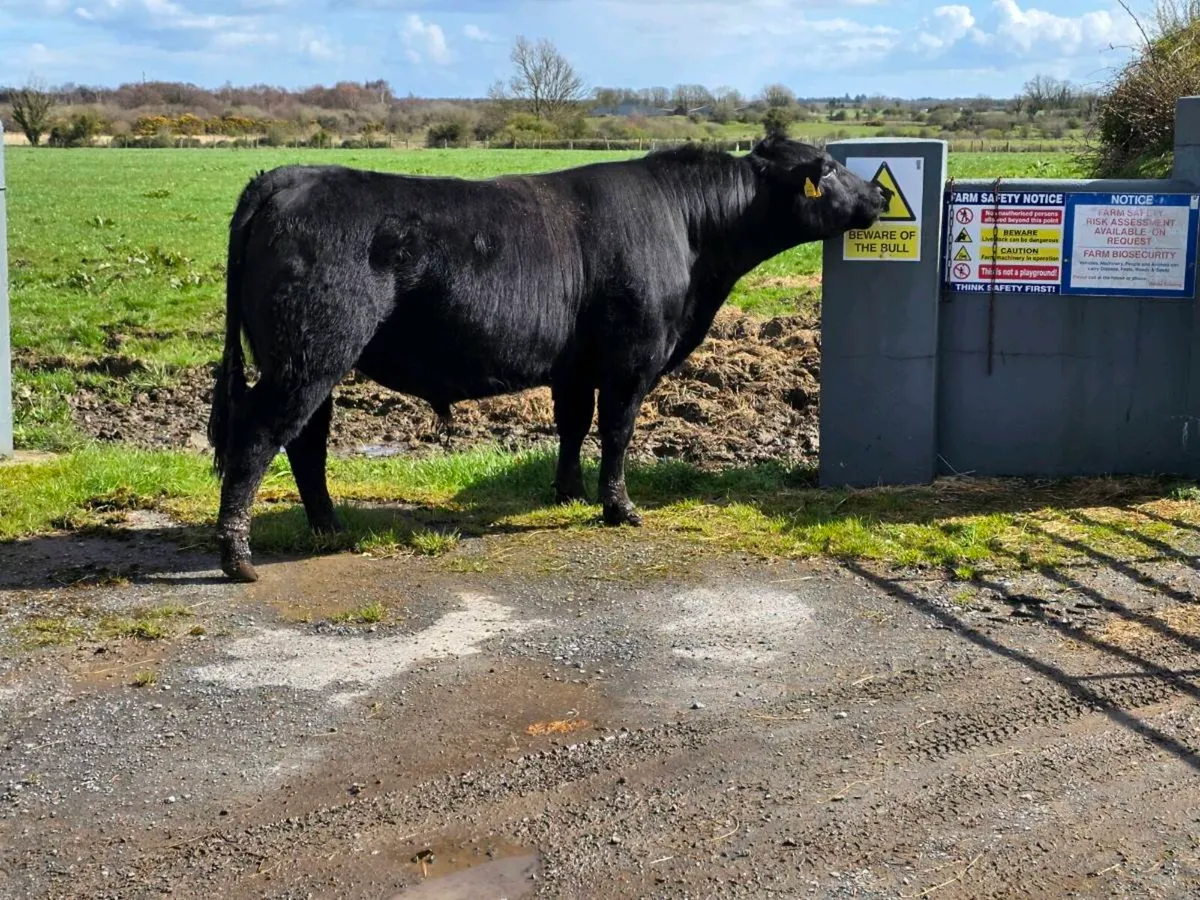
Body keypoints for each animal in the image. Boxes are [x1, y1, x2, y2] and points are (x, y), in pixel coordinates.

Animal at [207, 136, 890, 582]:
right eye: (829, 168)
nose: (882, 195)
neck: (694, 240)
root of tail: (287, 175)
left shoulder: (576, 365)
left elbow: (573, 425)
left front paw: (567, 492)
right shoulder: (632, 358)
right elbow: (616, 432)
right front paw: (619, 508)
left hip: (313, 362)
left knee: (305, 440)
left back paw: (329, 528)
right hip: (307, 356)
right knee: (259, 436)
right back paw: (238, 558)